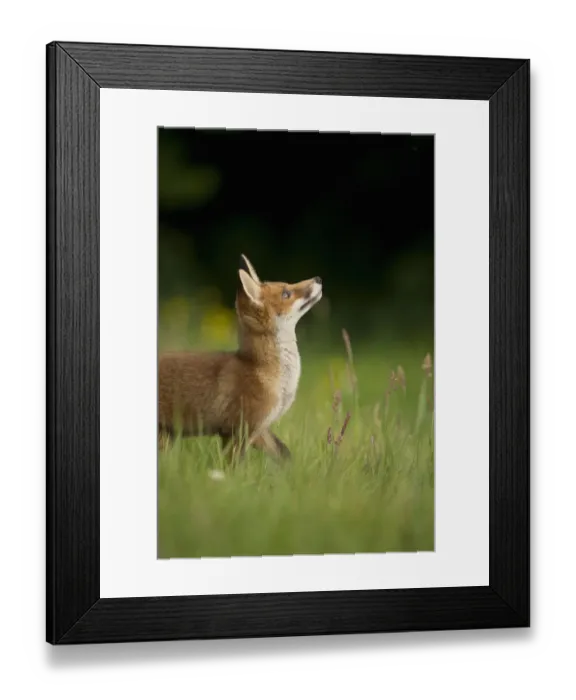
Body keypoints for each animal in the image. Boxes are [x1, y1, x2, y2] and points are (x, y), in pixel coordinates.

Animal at [158, 254, 323, 462]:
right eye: (286, 294)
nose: (318, 278)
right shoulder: (239, 431)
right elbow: (231, 466)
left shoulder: (260, 429)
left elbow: (285, 454)